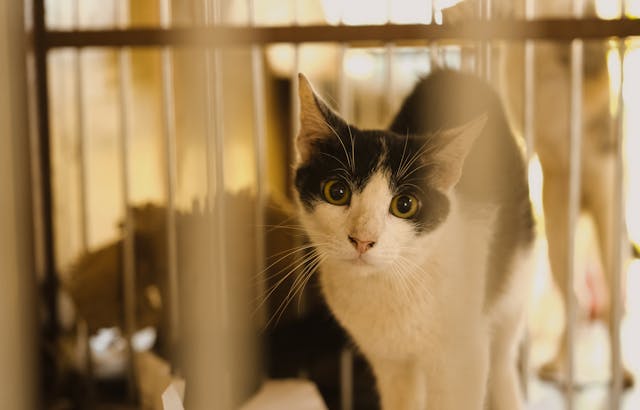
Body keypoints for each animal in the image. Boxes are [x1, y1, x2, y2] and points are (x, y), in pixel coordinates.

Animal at [294, 71, 536, 410]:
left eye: (404, 205)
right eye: (337, 192)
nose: (362, 239)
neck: (388, 283)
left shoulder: (462, 358)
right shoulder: (389, 361)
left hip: (516, 277)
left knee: (502, 356)